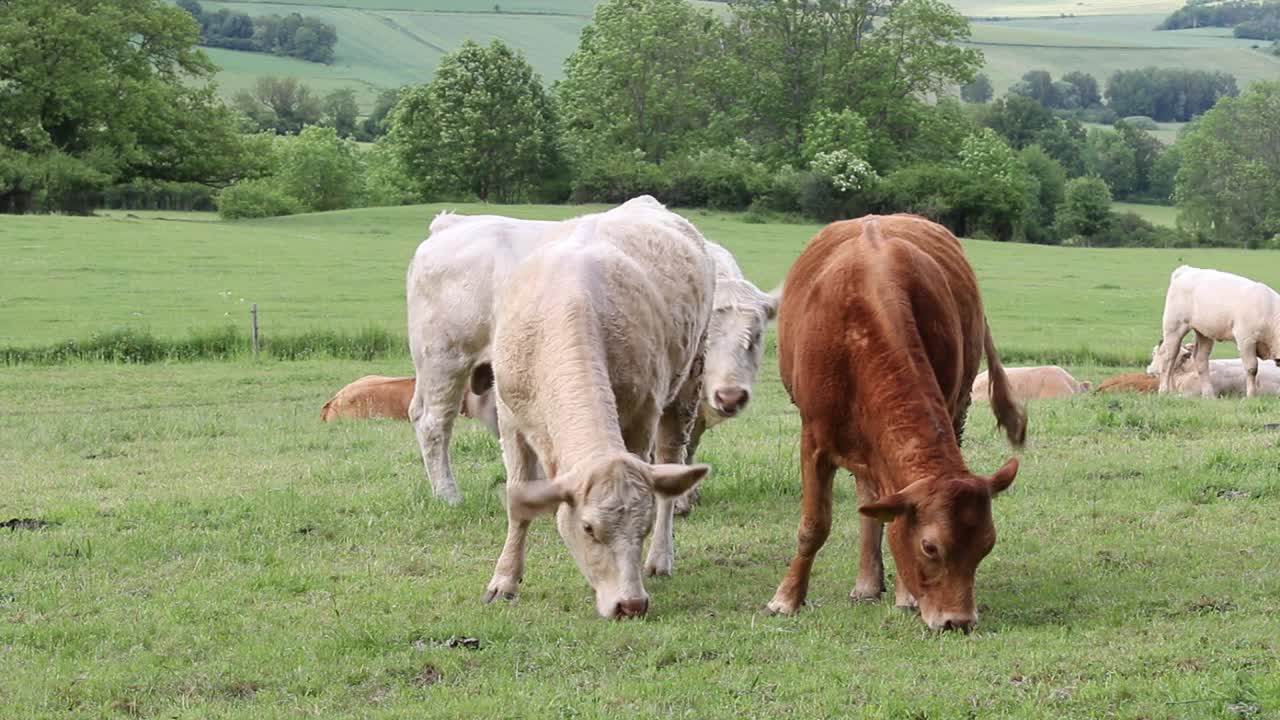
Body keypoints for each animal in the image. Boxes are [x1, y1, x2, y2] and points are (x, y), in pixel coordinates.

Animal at [483, 196, 716, 617]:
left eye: (641, 527)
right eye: (588, 528)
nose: (631, 604)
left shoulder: (641, 416)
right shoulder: (510, 418)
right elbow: (518, 501)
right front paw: (504, 580)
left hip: (688, 382)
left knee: (671, 461)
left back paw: (661, 558)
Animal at [762, 215, 1024, 630]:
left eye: (987, 544)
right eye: (930, 547)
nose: (958, 621)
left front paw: (907, 596)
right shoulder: (814, 437)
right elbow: (814, 525)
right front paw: (786, 598)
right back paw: (867, 583)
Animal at [1152, 265, 1280, 397]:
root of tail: (1187, 270)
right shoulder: (1246, 340)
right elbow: (1252, 368)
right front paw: (1251, 396)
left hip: (1204, 333)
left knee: (1201, 359)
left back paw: (1208, 394)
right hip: (1174, 326)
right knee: (1169, 358)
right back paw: (1164, 391)